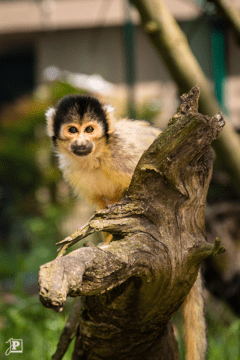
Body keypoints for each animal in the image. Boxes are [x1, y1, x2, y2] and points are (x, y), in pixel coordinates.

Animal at [46, 94, 206, 358]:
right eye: (72, 130)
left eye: (89, 130)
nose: (81, 142)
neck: (97, 155)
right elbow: (102, 210)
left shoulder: (123, 153)